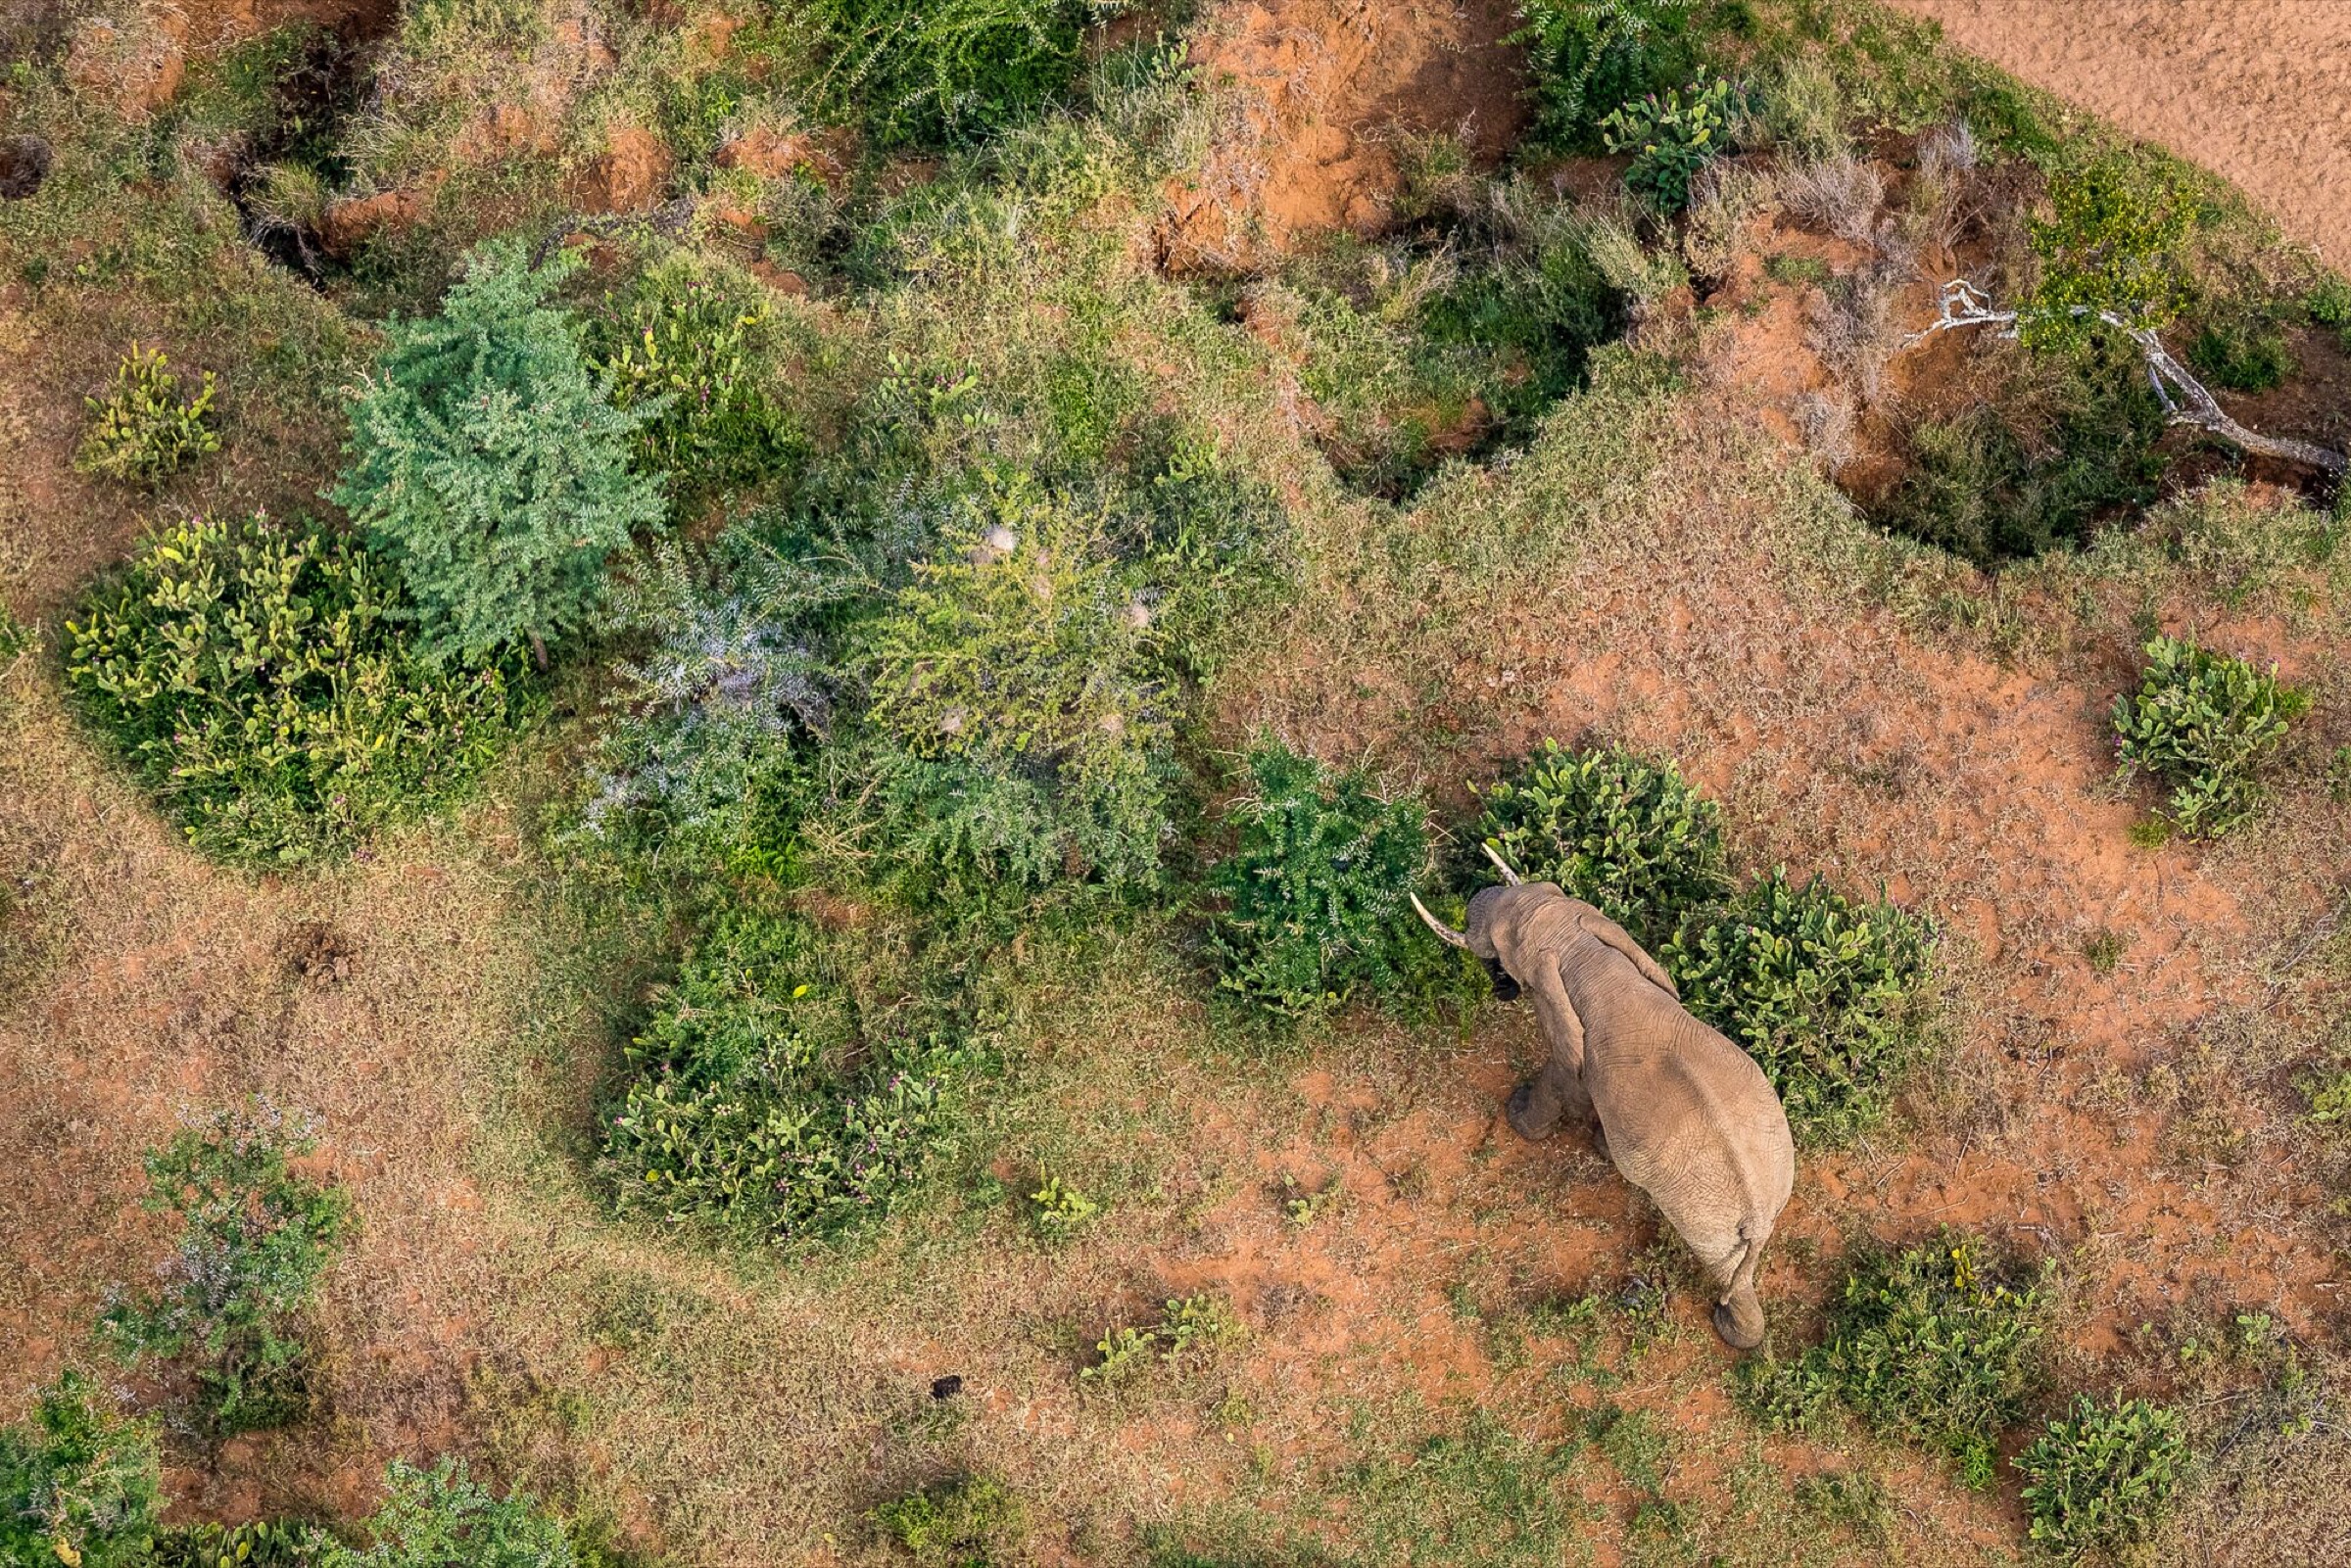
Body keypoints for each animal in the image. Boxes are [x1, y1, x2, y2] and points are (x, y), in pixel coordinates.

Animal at [1414, 860, 1795, 1349]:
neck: (1585, 953)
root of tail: (1758, 1214)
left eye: (1502, 942)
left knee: (1725, 1269)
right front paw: (1599, 1145)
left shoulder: (1576, 1043)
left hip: (1705, 1219)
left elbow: (1564, 1075)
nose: (1498, 982)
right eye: (1552, 889)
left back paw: (1730, 1331)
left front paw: (1518, 1116)